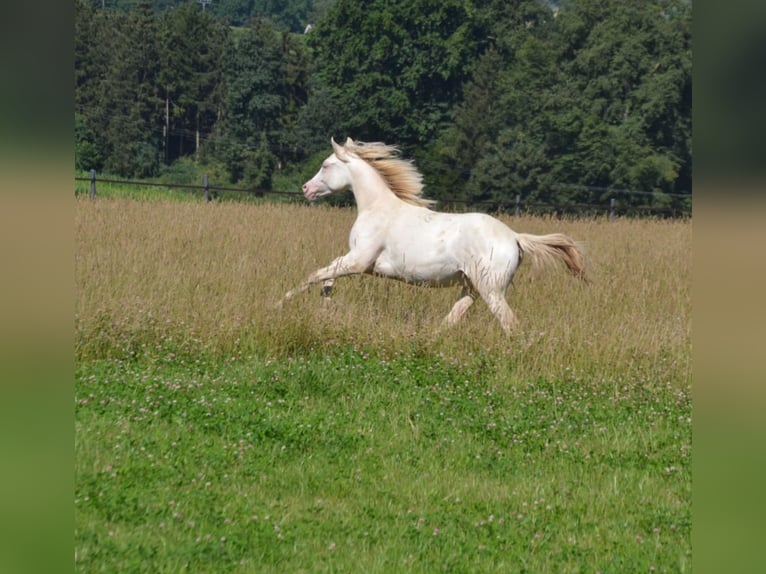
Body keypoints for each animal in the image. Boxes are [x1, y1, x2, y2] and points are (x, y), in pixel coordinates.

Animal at [282, 140, 588, 336]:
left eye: (326, 165)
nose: (306, 188)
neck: (377, 208)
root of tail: (514, 237)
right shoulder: (362, 264)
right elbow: (327, 276)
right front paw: (326, 305)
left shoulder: (358, 260)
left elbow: (315, 274)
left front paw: (280, 303)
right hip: (472, 288)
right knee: (453, 318)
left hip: (491, 291)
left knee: (510, 324)